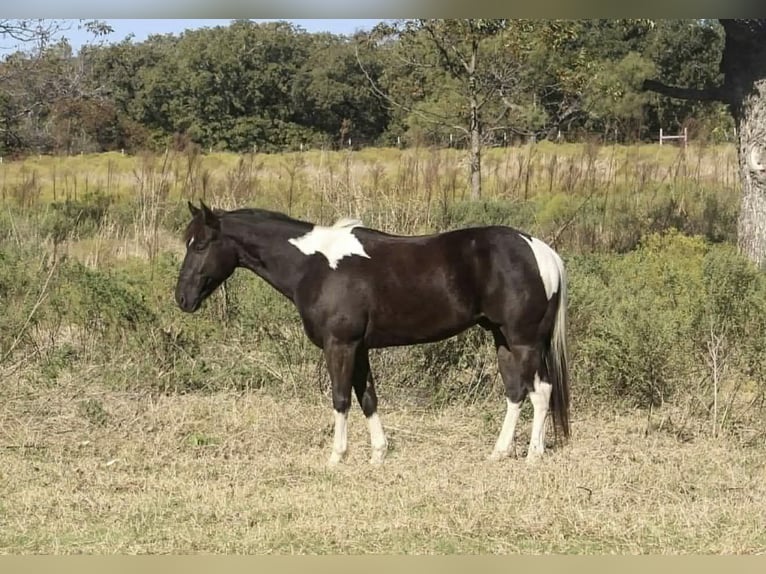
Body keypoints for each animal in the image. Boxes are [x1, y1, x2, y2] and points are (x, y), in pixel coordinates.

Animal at [174, 201, 570, 465]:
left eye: (200, 245)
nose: (182, 298)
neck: (314, 264)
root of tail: (540, 250)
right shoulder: (359, 348)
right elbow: (367, 397)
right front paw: (378, 454)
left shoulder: (339, 345)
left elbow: (340, 398)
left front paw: (336, 457)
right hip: (503, 339)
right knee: (523, 391)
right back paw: (508, 452)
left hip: (522, 340)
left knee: (535, 392)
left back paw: (528, 454)